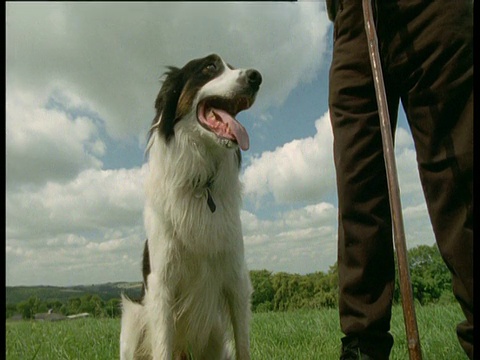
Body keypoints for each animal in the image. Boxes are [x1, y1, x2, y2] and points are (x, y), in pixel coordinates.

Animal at [120, 54, 262, 360]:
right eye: (210, 67)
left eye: (233, 68)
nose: (256, 77)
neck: (202, 184)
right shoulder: (161, 285)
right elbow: (162, 348)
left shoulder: (236, 279)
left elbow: (243, 345)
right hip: (133, 319)